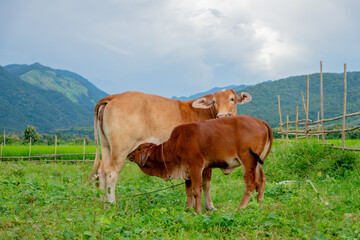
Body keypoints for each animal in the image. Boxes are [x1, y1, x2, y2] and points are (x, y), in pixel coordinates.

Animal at [89, 90, 253, 204]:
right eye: (214, 102)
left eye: (232, 99)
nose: (222, 116)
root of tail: (115, 96)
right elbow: (206, 184)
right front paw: (210, 207)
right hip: (120, 149)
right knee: (111, 173)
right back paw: (111, 205)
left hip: (106, 147)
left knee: (101, 172)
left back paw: (102, 205)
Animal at [128, 115, 272, 214]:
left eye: (139, 148)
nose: (129, 154)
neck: (176, 144)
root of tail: (260, 122)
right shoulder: (190, 170)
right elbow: (190, 191)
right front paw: (189, 208)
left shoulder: (195, 167)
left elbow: (197, 190)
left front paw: (198, 211)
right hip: (258, 163)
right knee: (261, 181)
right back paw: (259, 206)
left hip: (248, 161)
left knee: (251, 184)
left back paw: (241, 207)